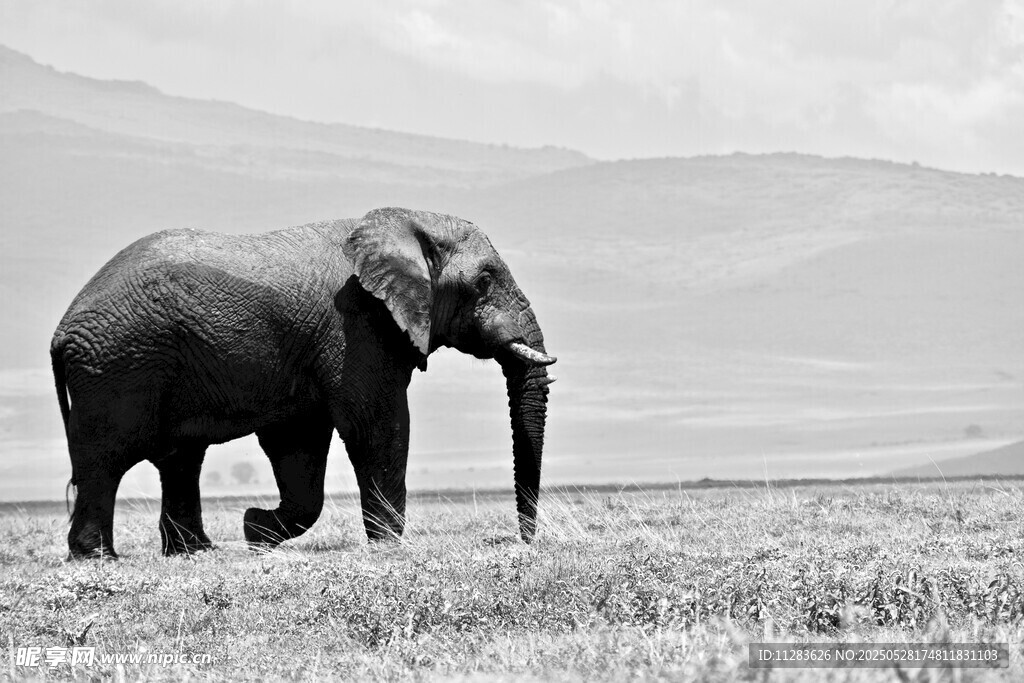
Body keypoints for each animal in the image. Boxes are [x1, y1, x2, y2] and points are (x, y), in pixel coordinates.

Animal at [50, 207, 555, 558]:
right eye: (484, 281)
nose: (526, 542)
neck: (407, 223)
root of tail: (61, 331)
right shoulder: (355, 327)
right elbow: (375, 425)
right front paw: (390, 546)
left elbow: (298, 445)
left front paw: (254, 531)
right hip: (116, 368)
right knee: (104, 459)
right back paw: (98, 558)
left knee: (180, 459)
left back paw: (196, 552)